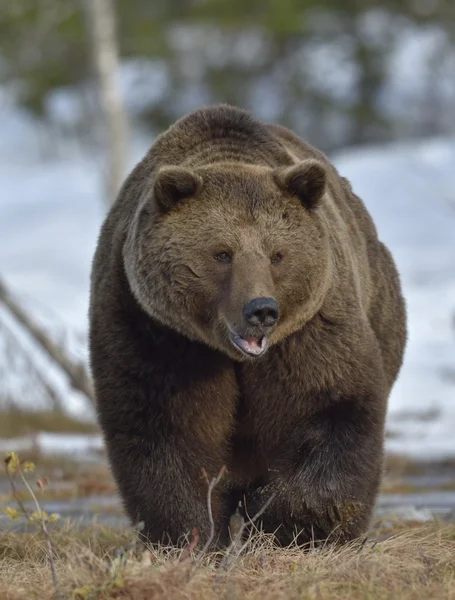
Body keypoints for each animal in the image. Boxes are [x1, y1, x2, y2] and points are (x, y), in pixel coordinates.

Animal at [88, 104, 406, 548]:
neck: (234, 356)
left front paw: (295, 526)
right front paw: (189, 536)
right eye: (222, 253)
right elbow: (166, 430)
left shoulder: (309, 330)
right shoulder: (156, 330)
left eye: (277, 254)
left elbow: (329, 405)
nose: (262, 310)